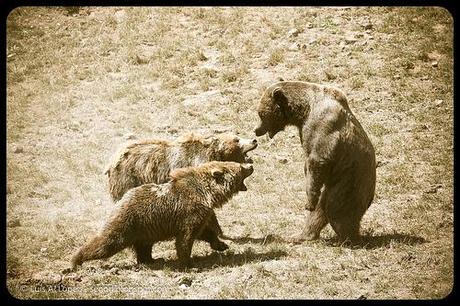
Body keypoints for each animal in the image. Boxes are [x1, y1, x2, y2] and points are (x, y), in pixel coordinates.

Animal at [71, 161, 255, 268]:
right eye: (240, 167)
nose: (251, 166)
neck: (208, 194)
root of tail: (121, 200)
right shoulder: (189, 212)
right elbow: (185, 238)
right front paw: (188, 262)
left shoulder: (201, 214)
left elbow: (204, 232)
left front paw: (221, 245)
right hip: (128, 222)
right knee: (106, 243)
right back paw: (76, 260)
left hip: (144, 230)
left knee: (143, 247)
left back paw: (151, 260)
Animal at [253, 80, 376, 244]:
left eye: (260, 113)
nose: (256, 130)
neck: (303, 111)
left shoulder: (322, 125)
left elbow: (317, 159)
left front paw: (309, 202)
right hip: (336, 184)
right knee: (321, 209)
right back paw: (301, 235)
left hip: (350, 180)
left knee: (337, 209)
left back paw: (347, 239)